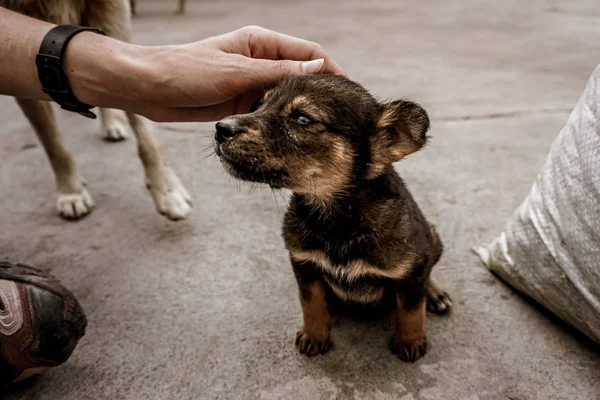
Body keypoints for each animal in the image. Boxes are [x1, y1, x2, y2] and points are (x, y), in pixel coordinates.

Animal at [0, 0, 192, 220]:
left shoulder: (113, 13)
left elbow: (147, 135)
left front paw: (168, 189)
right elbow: (54, 144)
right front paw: (71, 192)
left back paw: (112, 124)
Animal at [213, 75, 452, 362]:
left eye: (302, 119)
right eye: (257, 105)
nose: (220, 128)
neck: (336, 219)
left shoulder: (414, 267)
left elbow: (411, 309)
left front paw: (410, 341)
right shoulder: (303, 263)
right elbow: (310, 303)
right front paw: (315, 335)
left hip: (433, 238)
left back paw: (434, 294)